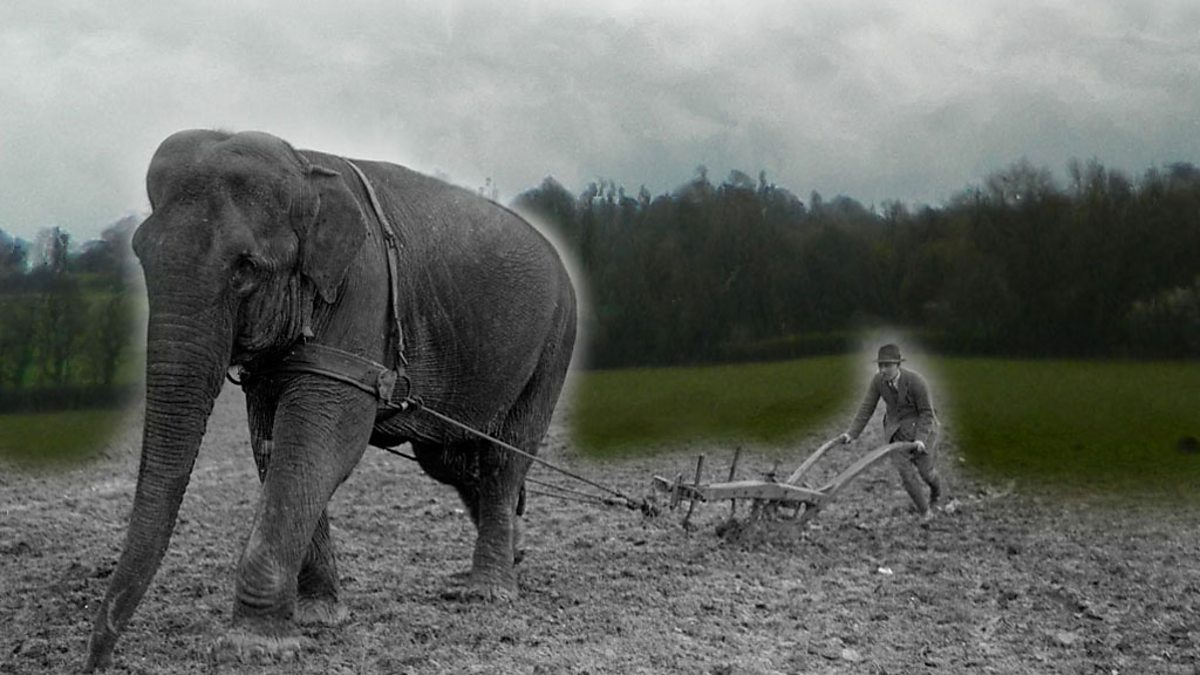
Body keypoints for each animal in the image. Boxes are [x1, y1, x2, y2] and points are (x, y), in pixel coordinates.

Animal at [84, 129, 577, 670]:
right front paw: (319, 618)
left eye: (245, 269)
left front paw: (254, 648)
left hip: (555, 342)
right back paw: (514, 554)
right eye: (140, 254)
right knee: (454, 461)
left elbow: (317, 441)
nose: (96, 663)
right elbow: (271, 445)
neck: (303, 164)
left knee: (502, 461)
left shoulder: (361, 292)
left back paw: (488, 592)